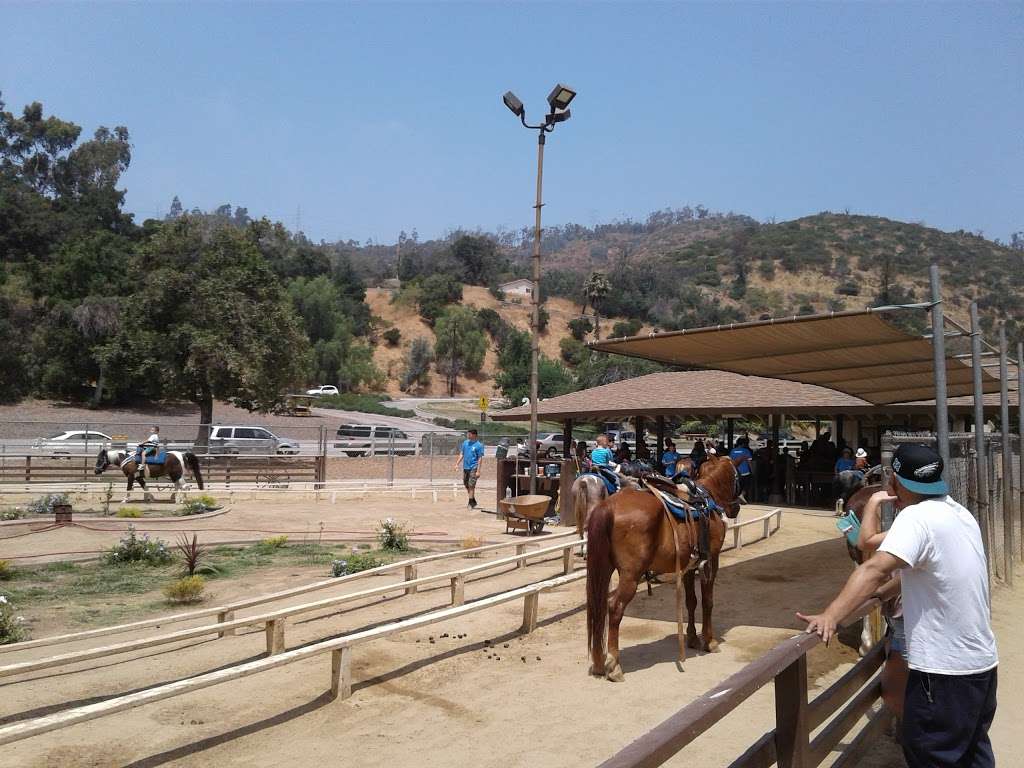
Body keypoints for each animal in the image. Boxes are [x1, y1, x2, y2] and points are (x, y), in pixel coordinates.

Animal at [585, 454, 745, 684]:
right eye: (738, 477)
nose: (736, 508)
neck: (708, 496)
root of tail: (609, 506)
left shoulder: (689, 566)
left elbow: (691, 601)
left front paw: (693, 638)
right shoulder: (711, 560)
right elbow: (708, 601)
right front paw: (709, 641)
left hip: (604, 570)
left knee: (598, 609)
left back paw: (599, 663)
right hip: (630, 576)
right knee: (614, 608)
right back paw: (614, 666)